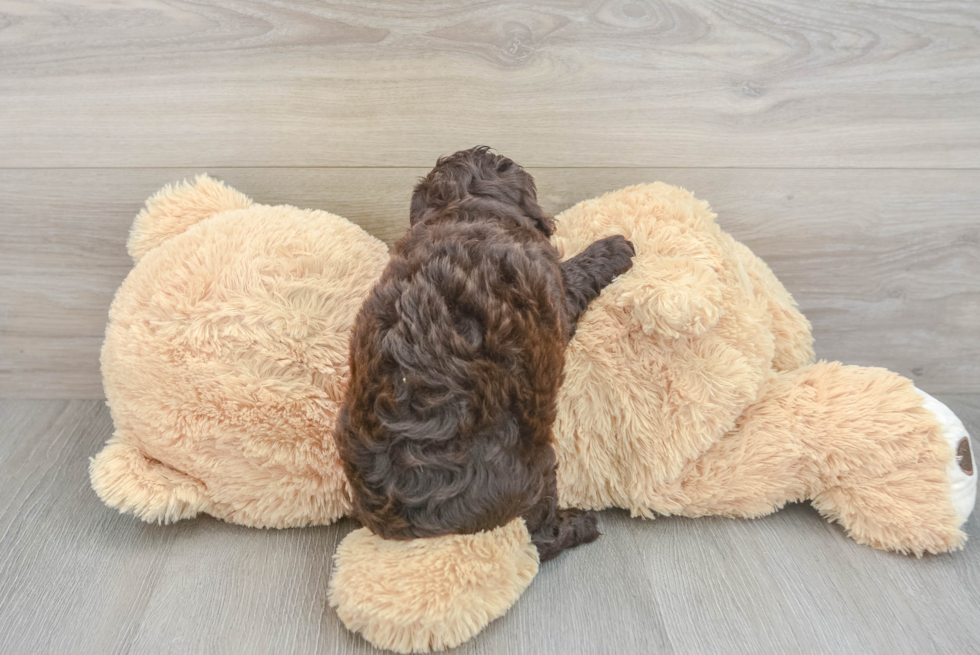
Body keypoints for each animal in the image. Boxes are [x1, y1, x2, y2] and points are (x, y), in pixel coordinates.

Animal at [334, 149, 632, 564]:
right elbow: (576, 272)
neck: (465, 208)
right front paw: (615, 247)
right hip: (531, 466)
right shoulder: (558, 293)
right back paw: (581, 525)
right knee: (539, 537)